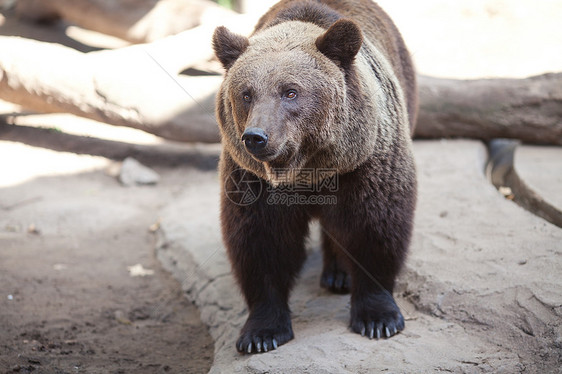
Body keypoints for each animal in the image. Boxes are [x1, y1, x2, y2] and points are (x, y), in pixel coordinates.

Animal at [212, 0, 414, 354]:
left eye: (290, 92)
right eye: (246, 93)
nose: (256, 137)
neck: (307, 169)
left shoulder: (365, 163)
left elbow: (375, 225)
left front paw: (378, 318)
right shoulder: (252, 179)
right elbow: (260, 241)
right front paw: (261, 332)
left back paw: (339, 274)